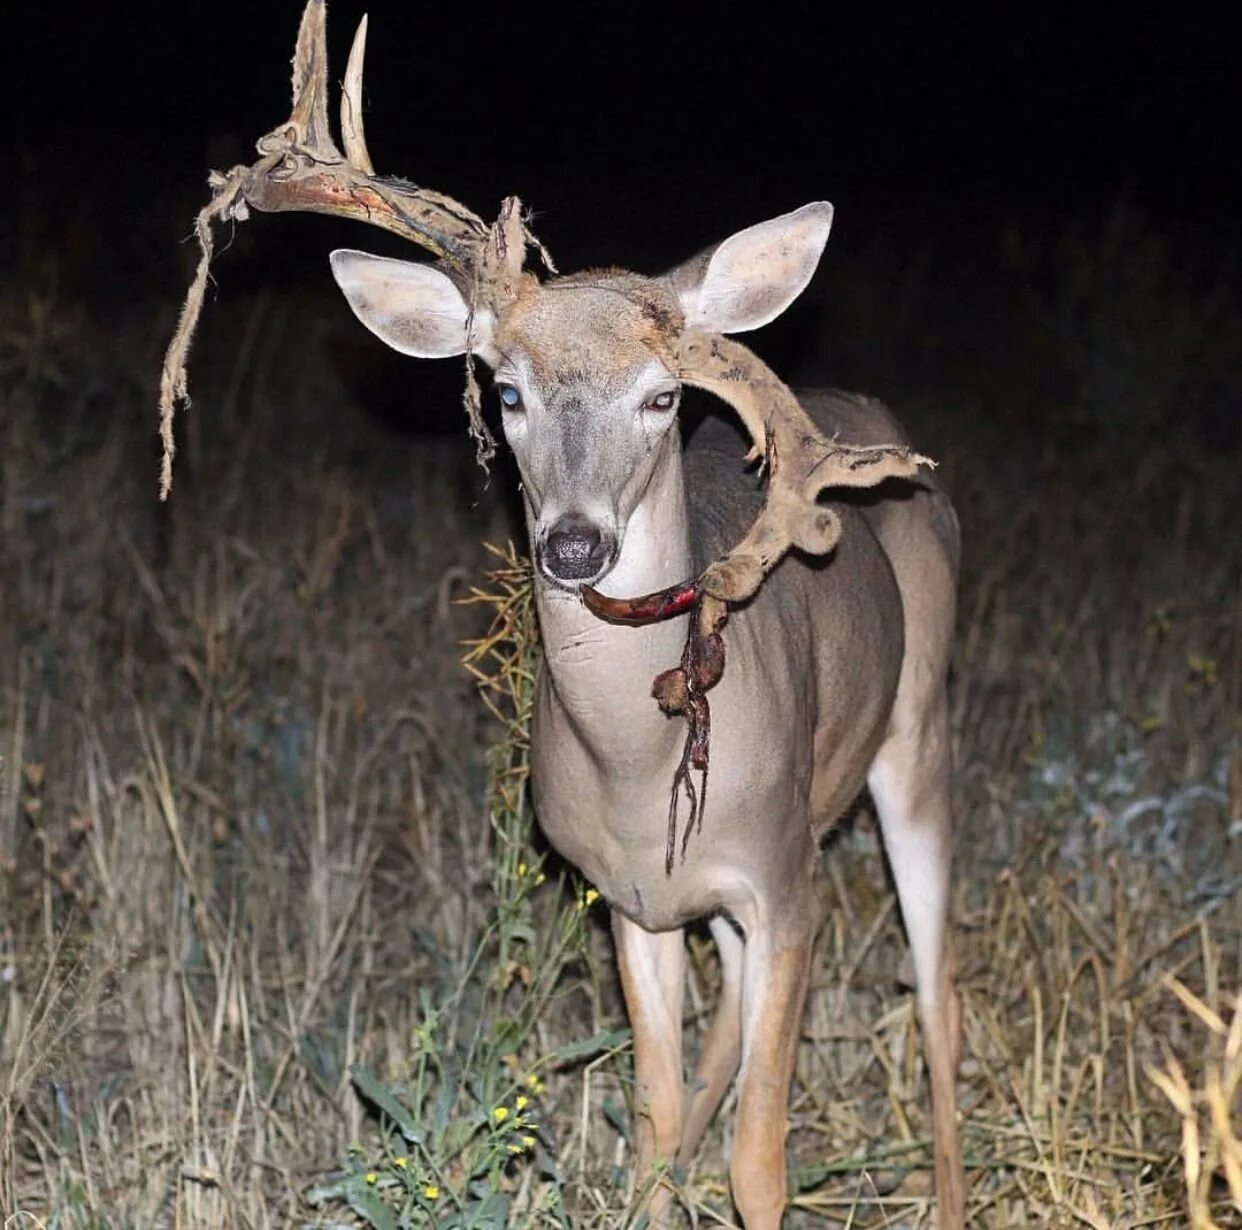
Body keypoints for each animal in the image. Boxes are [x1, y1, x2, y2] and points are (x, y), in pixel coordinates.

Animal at [160, 4, 963, 1227]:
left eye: (665, 397)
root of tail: (874, 416)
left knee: (936, 996)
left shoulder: (788, 880)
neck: (638, 757)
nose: (575, 545)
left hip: (915, 734)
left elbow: (762, 1158)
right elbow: (656, 1118)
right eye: (505, 390)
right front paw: (657, 1172)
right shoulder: (634, 901)